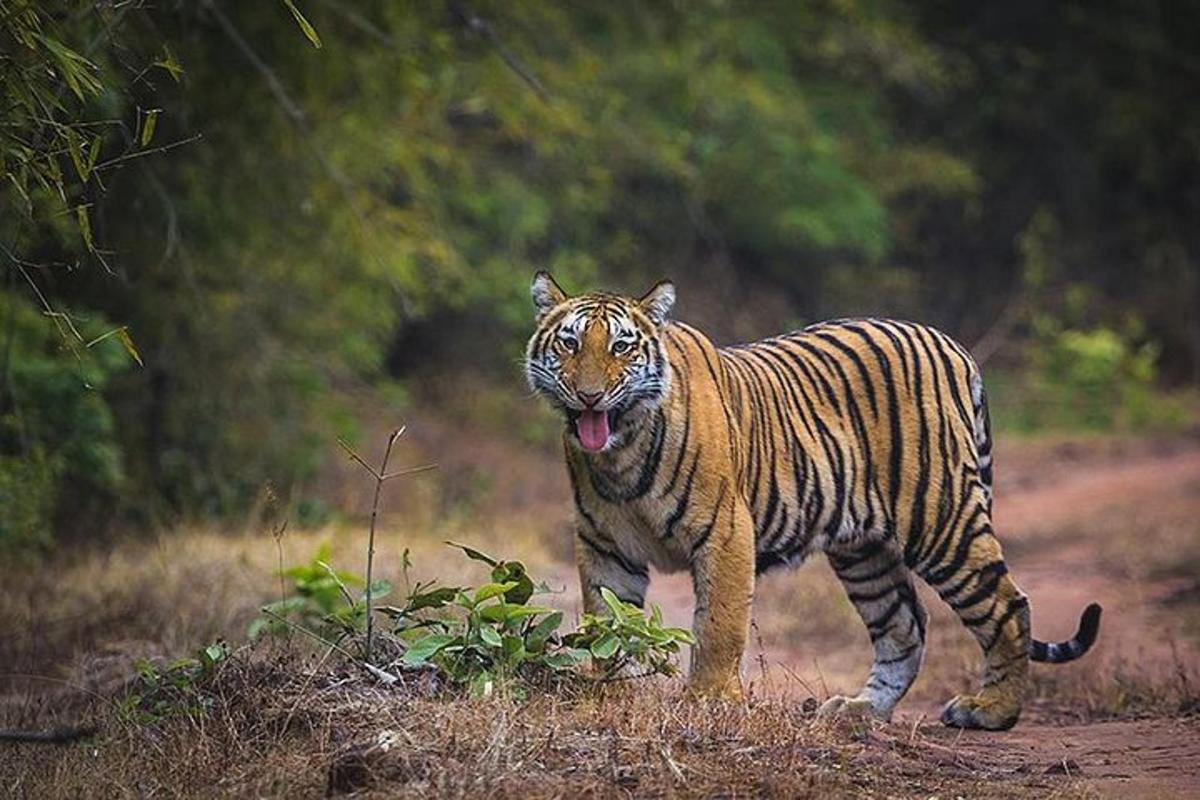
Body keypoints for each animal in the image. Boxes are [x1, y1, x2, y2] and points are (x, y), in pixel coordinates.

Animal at [520, 272, 1099, 729]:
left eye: (621, 347)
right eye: (570, 344)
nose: (590, 395)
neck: (621, 451)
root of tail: (949, 343)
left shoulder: (726, 533)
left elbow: (718, 627)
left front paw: (709, 701)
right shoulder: (604, 546)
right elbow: (607, 622)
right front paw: (612, 695)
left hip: (940, 519)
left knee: (1008, 604)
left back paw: (991, 710)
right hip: (864, 552)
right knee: (905, 624)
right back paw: (860, 710)